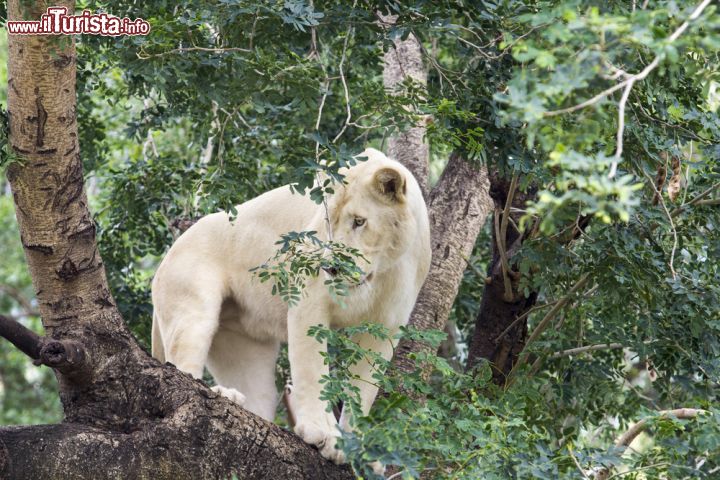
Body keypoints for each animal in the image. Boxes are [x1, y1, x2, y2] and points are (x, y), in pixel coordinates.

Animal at [151, 148, 430, 464]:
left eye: (359, 221)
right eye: (328, 222)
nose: (332, 268)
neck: (379, 272)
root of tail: (166, 257)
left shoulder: (386, 325)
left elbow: (364, 388)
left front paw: (354, 449)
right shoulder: (308, 298)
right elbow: (311, 367)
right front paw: (320, 433)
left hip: (242, 347)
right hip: (193, 303)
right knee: (181, 368)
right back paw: (223, 394)